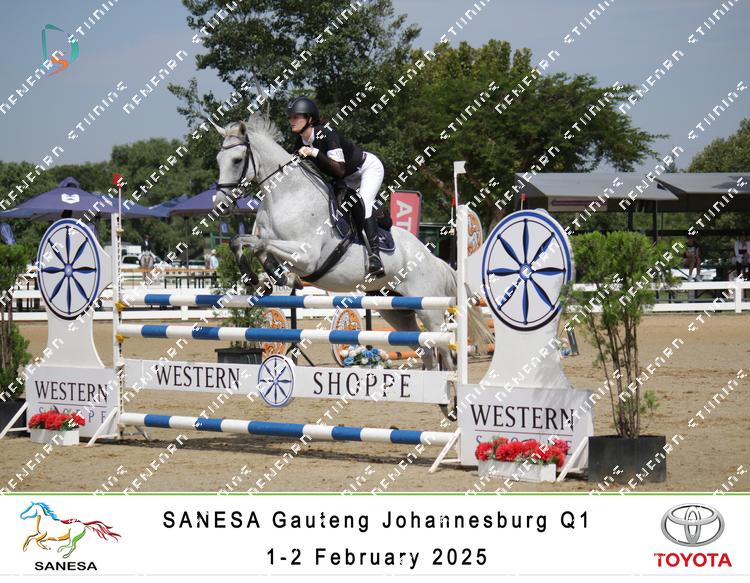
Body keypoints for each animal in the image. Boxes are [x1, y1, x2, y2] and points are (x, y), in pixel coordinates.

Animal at [210, 115, 492, 371]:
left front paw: (282, 278)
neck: (287, 194)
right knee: (428, 356)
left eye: (237, 160)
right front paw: (258, 277)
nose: (220, 205)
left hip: (430, 311)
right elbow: (244, 241)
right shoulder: (274, 243)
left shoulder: (307, 256)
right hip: (396, 310)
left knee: (445, 354)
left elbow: (262, 245)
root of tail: (434, 259)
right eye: (218, 160)